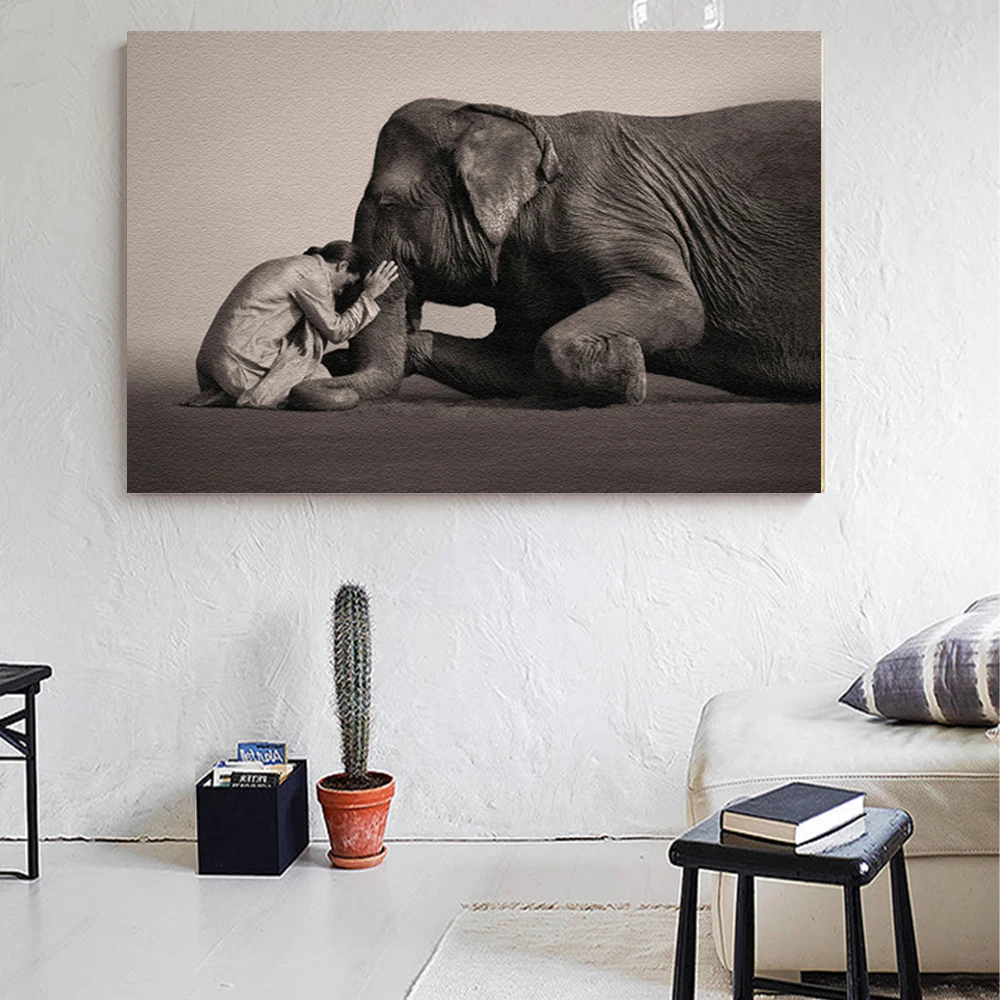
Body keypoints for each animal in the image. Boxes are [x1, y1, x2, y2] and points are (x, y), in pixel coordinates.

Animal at [288, 96, 820, 410]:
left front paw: (628, 371)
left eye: (388, 203)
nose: (329, 368)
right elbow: (514, 363)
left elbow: (680, 305)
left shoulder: (606, 207)